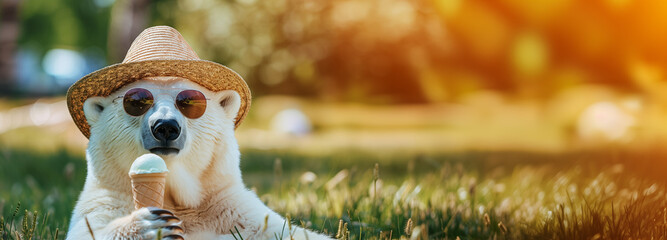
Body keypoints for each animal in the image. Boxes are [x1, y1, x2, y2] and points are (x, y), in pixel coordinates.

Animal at [65, 76, 332, 238]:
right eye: (137, 101)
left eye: (189, 101)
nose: (166, 127)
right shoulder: (107, 198)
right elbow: (87, 231)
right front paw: (151, 225)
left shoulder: (227, 206)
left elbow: (285, 231)